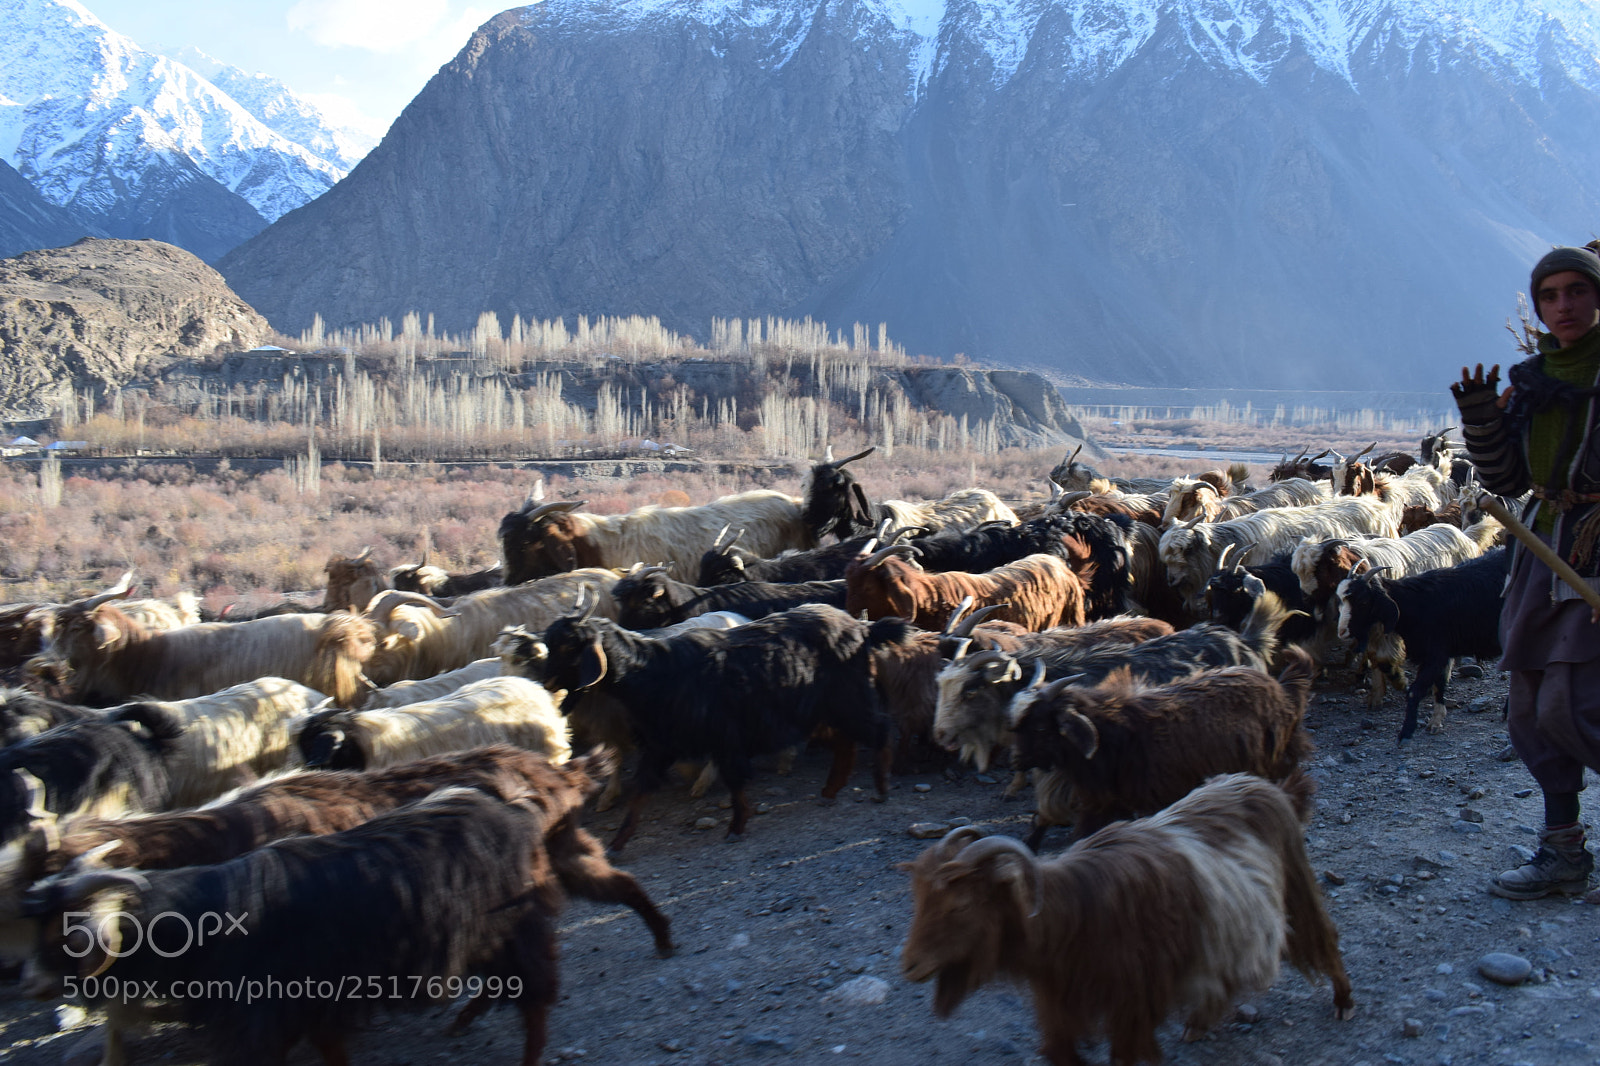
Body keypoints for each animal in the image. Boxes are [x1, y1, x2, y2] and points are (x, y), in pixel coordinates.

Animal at [900, 775, 1353, 1066]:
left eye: (961, 906)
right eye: (921, 900)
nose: (910, 966)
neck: (1079, 912)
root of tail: (1264, 785)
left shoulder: (1134, 1004)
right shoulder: (1059, 1004)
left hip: (1295, 888)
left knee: (1324, 937)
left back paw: (1343, 1002)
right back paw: (1198, 1023)